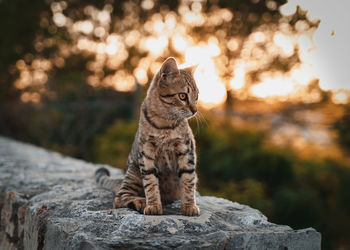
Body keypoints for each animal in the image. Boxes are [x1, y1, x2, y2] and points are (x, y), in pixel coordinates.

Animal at [95, 57, 200, 216]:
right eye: (182, 96)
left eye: (196, 97)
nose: (195, 110)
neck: (164, 123)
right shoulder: (146, 152)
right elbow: (150, 183)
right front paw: (153, 205)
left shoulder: (186, 150)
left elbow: (188, 180)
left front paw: (189, 206)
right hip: (134, 173)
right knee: (119, 198)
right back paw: (140, 201)